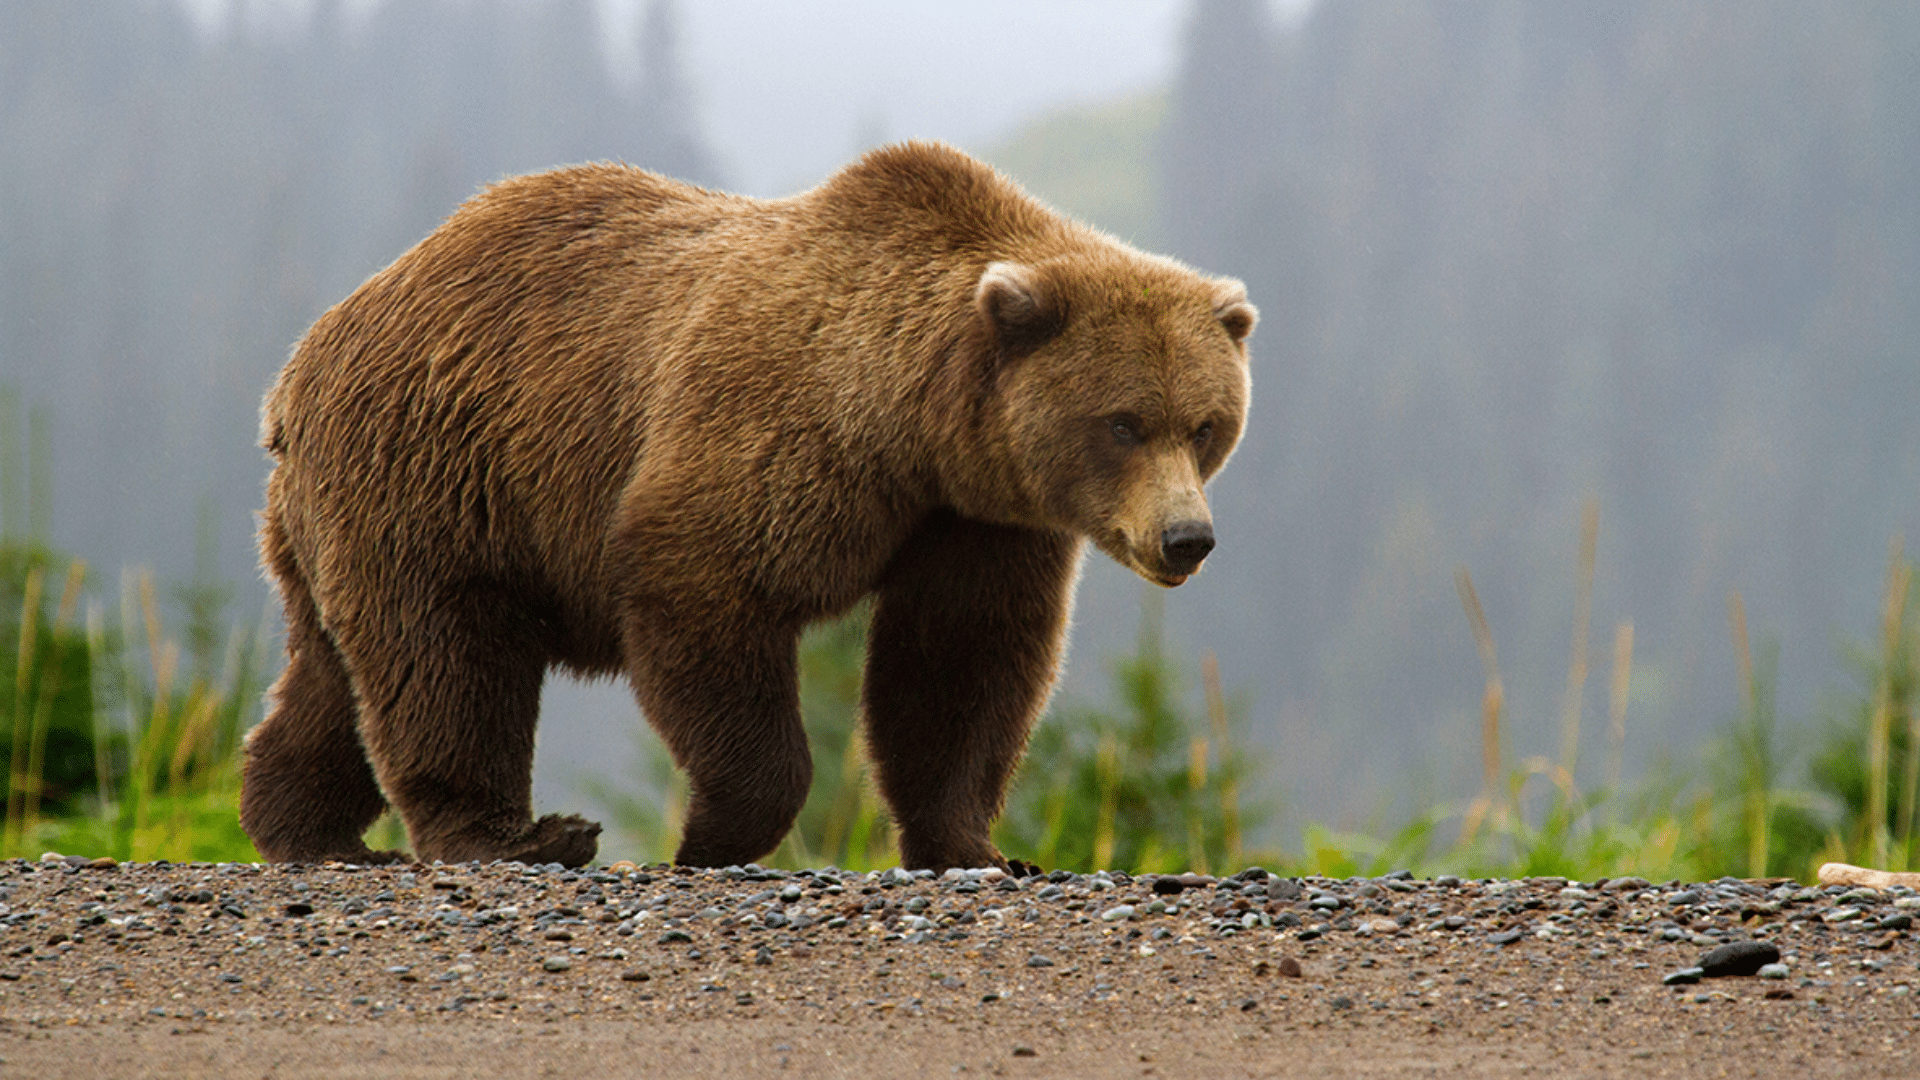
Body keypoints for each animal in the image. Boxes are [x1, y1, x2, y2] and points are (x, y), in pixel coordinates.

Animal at [236, 141, 1259, 864]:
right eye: (1123, 422)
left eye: (1206, 425)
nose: (1186, 538)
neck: (914, 427)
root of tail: (304, 360)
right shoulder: (776, 431)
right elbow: (706, 589)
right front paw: (710, 835)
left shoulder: (978, 519)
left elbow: (960, 663)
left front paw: (977, 846)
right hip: (442, 469)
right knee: (446, 657)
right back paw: (514, 837)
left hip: (346, 512)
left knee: (334, 673)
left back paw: (305, 828)